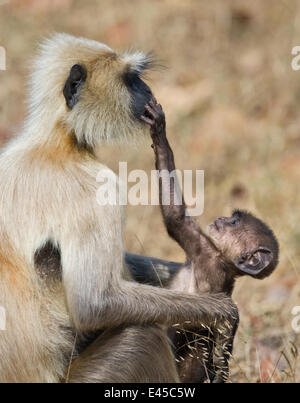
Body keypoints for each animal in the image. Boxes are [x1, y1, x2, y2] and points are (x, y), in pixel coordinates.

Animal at [0, 34, 237, 382]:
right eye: (130, 79)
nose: (148, 90)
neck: (56, 143)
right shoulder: (95, 188)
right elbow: (94, 304)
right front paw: (220, 310)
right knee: (143, 334)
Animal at [139, 98, 280, 382]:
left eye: (235, 222)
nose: (223, 218)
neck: (222, 263)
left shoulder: (202, 249)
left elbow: (175, 216)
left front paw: (159, 130)